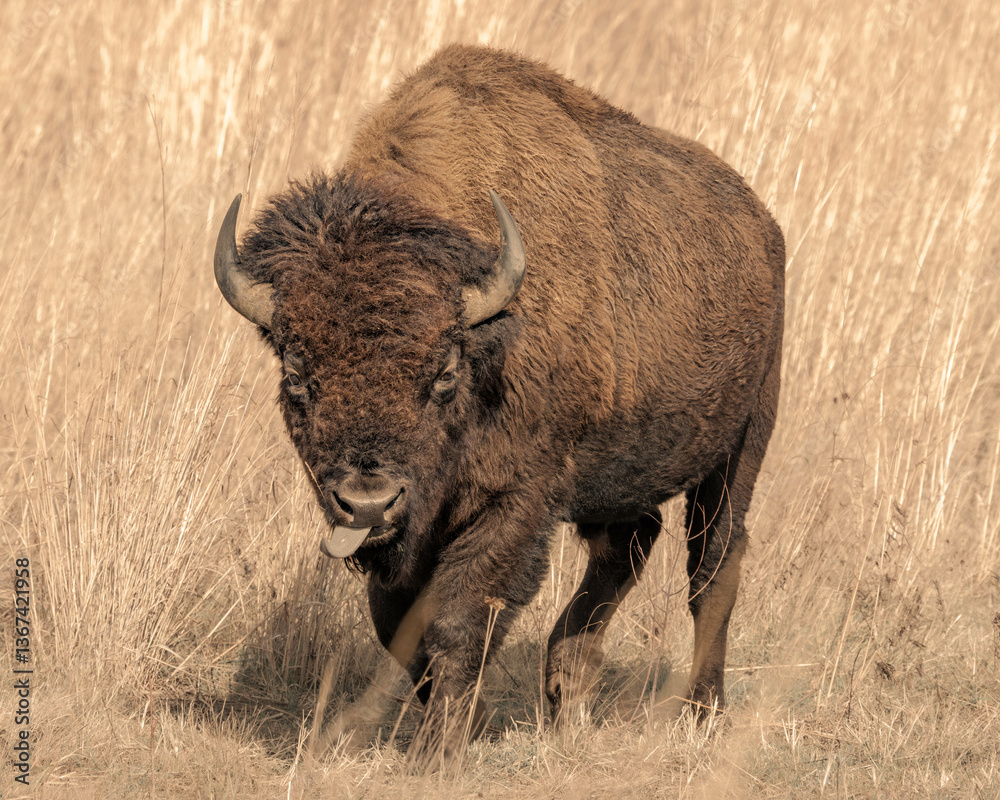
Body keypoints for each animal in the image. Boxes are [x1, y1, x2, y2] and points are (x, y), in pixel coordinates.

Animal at [213, 44, 784, 761]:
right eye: (296, 374)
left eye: (443, 373)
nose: (368, 502)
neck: (487, 336)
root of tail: (763, 227)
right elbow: (397, 623)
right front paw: (464, 723)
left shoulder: (515, 501)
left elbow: (461, 617)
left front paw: (440, 749)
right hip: (623, 474)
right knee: (630, 545)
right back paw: (567, 697)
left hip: (741, 446)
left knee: (713, 564)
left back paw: (701, 711)